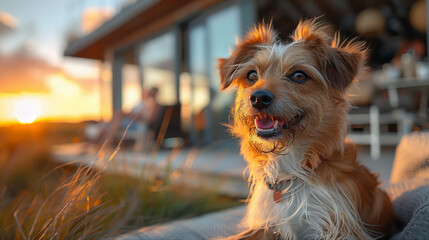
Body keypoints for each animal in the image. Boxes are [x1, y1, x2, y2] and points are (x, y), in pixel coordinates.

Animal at [219, 19, 392, 239]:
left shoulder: (336, 228)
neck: (289, 171)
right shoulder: (266, 223)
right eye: (251, 75)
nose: (258, 98)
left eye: (299, 75)